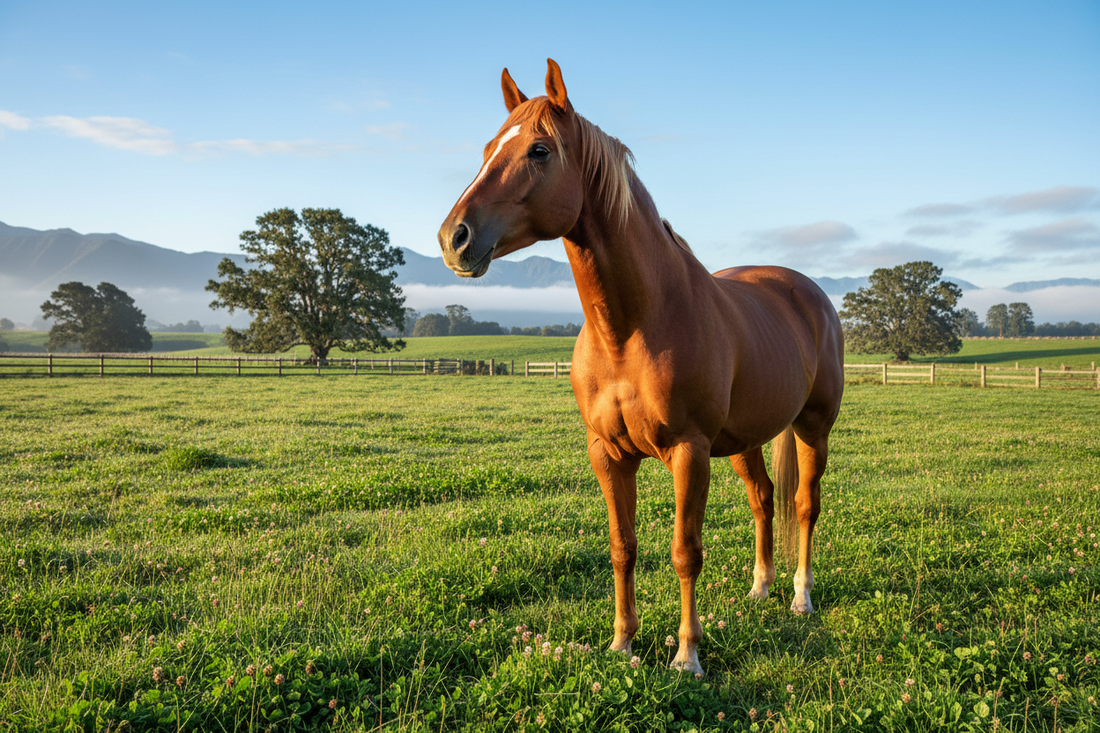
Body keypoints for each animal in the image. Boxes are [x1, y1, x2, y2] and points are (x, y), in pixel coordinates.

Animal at [437, 59, 844, 676]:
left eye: (539, 150)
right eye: (488, 148)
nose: (453, 238)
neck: (631, 328)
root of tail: (807, 292)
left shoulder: (689, 452)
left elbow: (684, 552)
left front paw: (687, 654)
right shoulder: (608, 454)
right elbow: (622, 547)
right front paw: (622, 642)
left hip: (812, 428)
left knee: (804, 505)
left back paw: (800, 596)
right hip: (745, 440)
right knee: (763, 498)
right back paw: (760, 587)